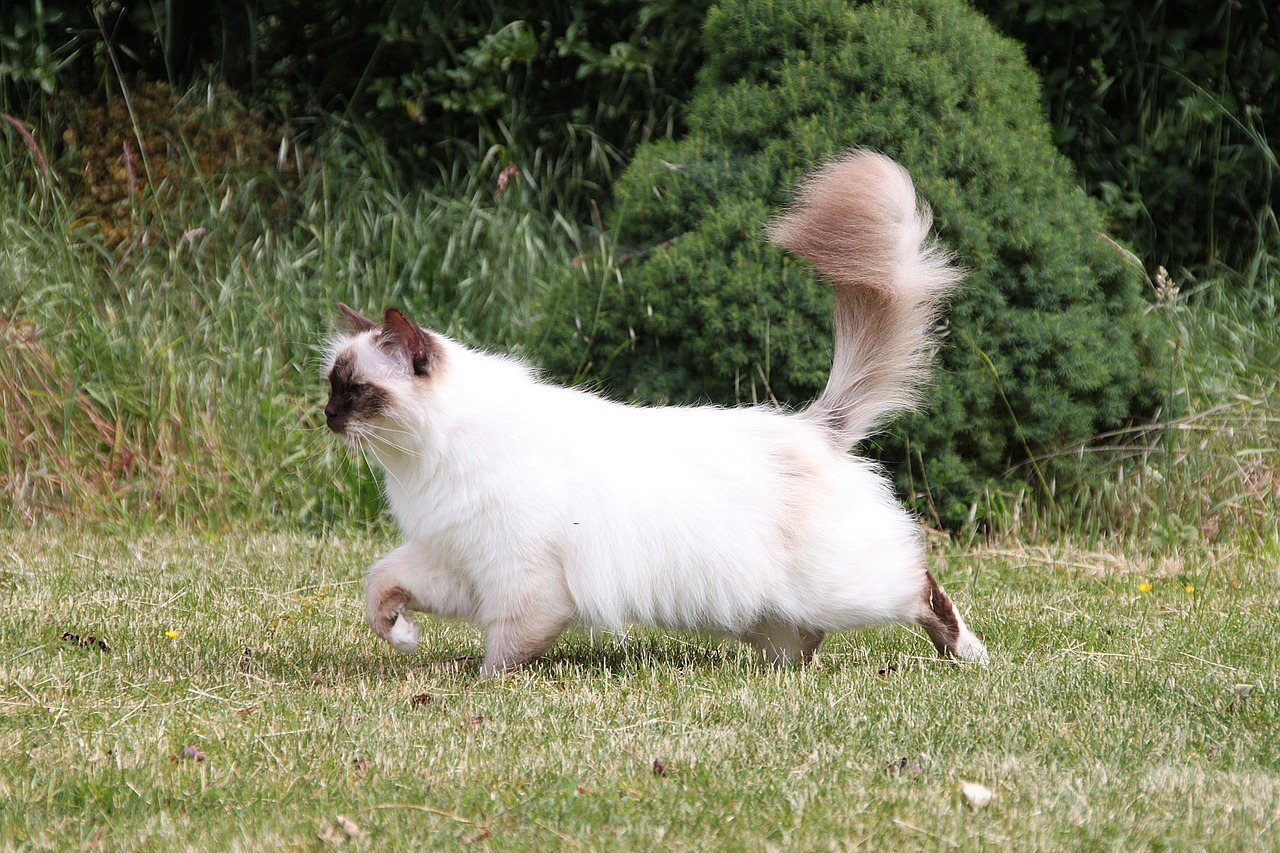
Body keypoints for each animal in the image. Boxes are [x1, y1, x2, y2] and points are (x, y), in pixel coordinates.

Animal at [325, 151, 983, 671]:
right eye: (331, 385)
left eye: (355, 390)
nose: (327, 417)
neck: (423, 464)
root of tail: (813, 426)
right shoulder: (453, 561)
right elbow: (379, 587)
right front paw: (404, 637)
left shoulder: (522, 580)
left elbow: (502, 652)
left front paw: (478, 686)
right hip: (773, 612)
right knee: (808, 639)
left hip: (845, 584)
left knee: (919, 586)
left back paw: (968, 654)